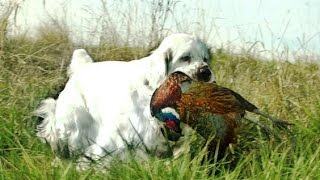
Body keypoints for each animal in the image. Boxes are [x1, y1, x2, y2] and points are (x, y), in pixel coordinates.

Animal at [35, 33, 214, 169]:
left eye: (205, 59)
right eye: (185, 57)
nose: (206, 72)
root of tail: (83, 66)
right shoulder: (119, 137)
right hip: (71, 126)